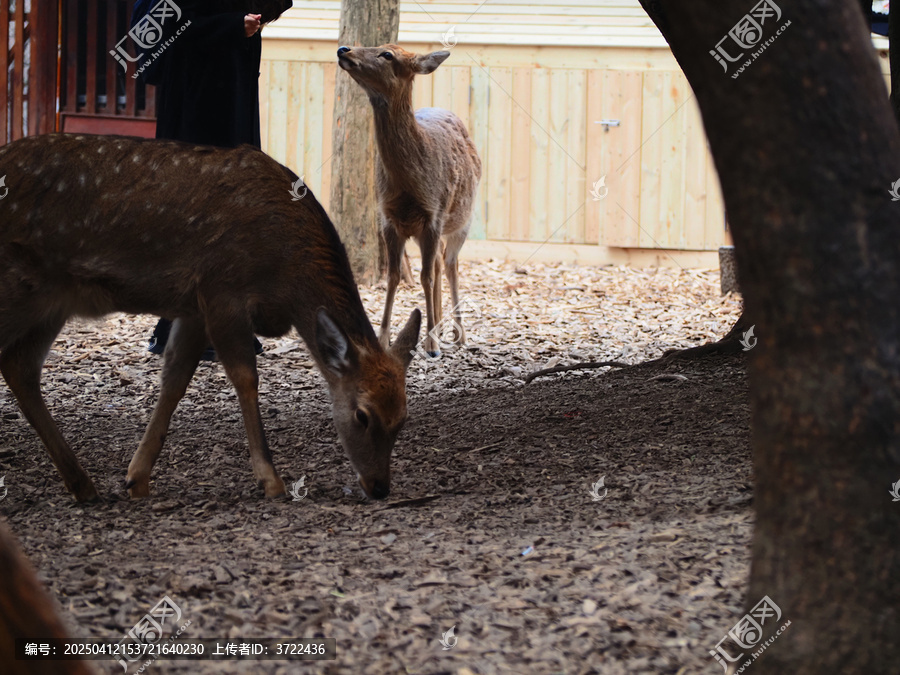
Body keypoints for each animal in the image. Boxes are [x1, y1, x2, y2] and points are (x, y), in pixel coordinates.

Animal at [0, 133, 421, 502]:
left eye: (402, 418)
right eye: (362, 415)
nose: (380, 487)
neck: (284, 275)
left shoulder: (194, 306)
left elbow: (175, 378)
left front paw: (136, 479)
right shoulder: (222, 289)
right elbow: (245, 377)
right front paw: (271, 481)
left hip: (50, 302)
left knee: (20, 365)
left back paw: (83, 485)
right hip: (21, 288)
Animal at [337, 44, 482, 357]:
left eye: (387, 55)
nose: (344, 49)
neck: (408, 184)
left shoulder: (433, 215)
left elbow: (425, 276)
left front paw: (432, 345)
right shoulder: (388, 218)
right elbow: (393, 276)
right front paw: (383, 340)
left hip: (462, 220)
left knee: (450, 264)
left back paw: (457, 334)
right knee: (439, 262)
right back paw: (440, 326)